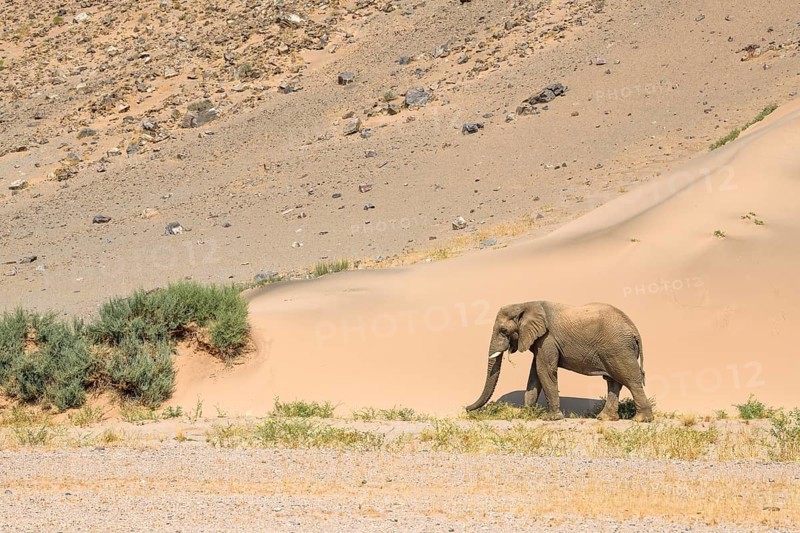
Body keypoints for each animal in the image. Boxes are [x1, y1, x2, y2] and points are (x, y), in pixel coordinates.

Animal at [465, 301, 653, 422]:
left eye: (504, 330)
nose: (466, 409)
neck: (526, 304)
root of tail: (635, 331)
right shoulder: (540, 341)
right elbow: (534, 374)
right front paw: (525, 416)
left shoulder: (547, 338)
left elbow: (544, 370)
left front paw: (551, 419)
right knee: (613, 382)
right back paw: (605, 419)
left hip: (618, 348)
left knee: (630, 380)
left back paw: (641, 420)